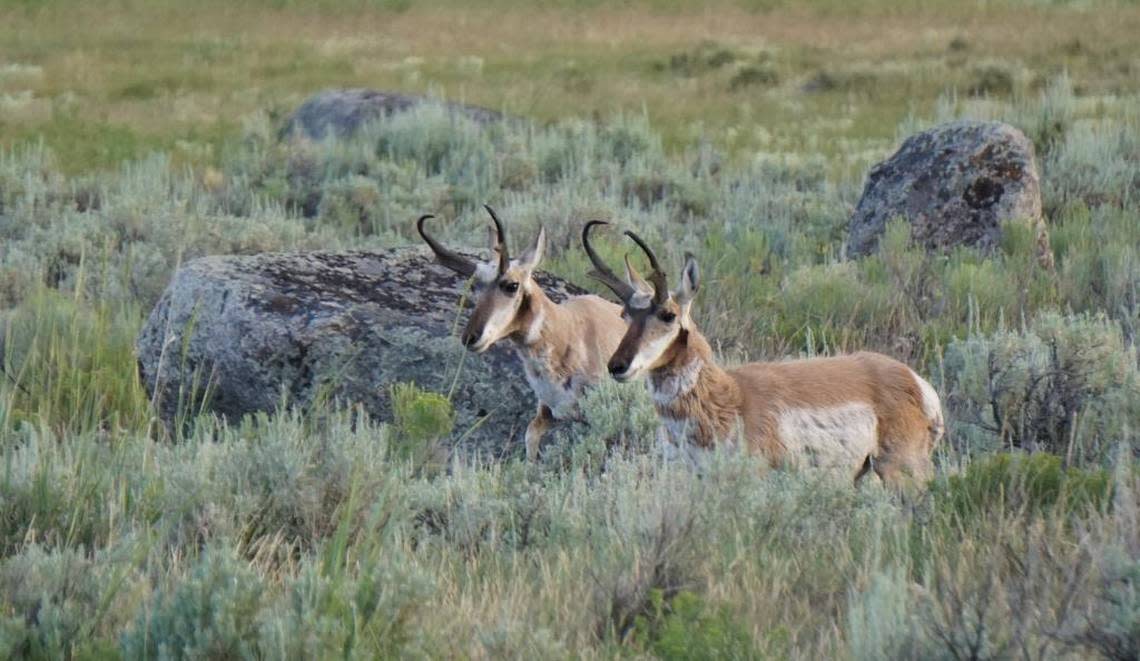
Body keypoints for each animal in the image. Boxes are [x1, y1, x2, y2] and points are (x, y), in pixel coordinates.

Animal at [417, 206, 624, 460]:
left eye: (512, 285)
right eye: (475, 285)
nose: (470, 337)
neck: (569, 332)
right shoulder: (546, 412)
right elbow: (530, 436)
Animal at [579, 222, 943, 485]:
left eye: (668, 315)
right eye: (625, 314)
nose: (617, 366)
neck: (730, 396)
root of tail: (915, 380)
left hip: (901, 472)